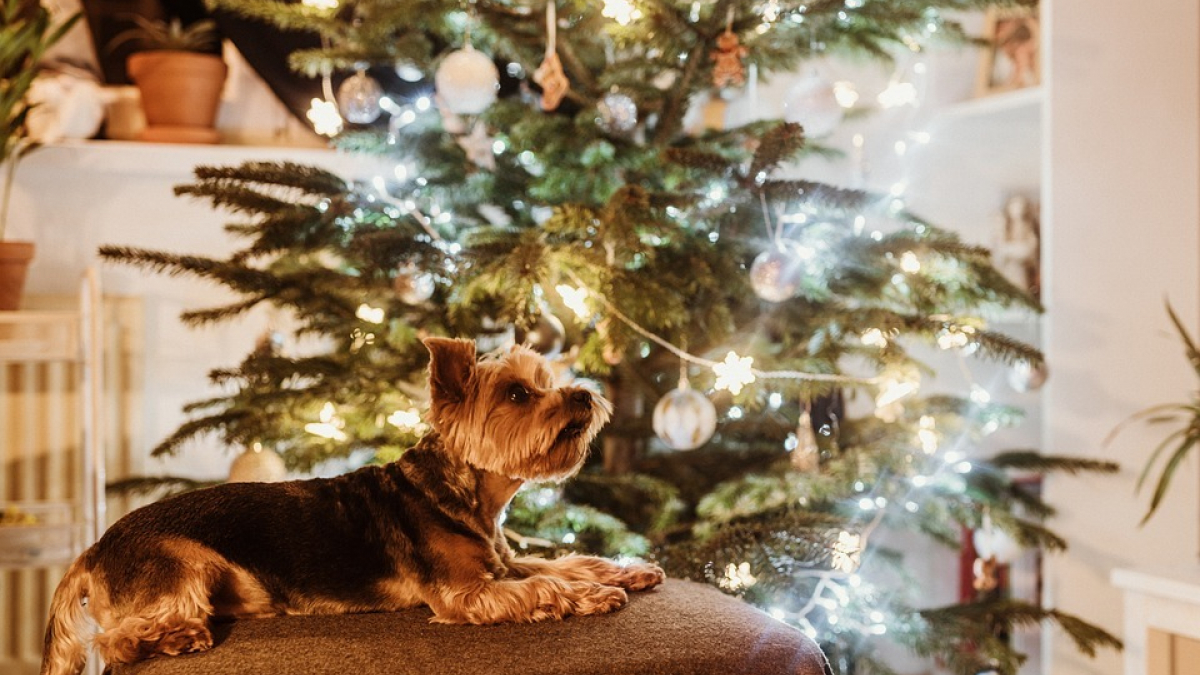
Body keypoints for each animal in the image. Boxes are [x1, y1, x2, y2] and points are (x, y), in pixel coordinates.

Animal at [39, 336, 667, 672]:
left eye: (547, 381)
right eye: (518, 393)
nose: (583, 394)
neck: (464, 491)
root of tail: (92, 551)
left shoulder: (502, 561)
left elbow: (565, 561)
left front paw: (629, 571)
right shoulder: (466, 592)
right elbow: (545, 586)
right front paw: (594, 596)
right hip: (185, 565)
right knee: (114, 639)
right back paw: (176, 637)